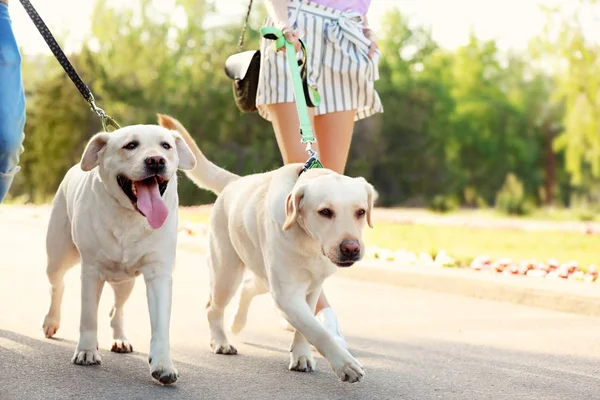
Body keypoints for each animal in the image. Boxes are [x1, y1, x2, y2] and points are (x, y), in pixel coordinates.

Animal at [42, 124, 197, 384]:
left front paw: (163, 365)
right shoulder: (91, 271)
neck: (130, 216)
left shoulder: (159, 273)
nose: (156, 160)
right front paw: (86, 351)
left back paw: (120, 339)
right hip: (58, 257)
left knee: (117, 309)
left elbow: (160, 325)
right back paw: (52, 322)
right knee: (58, 286)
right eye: (130, 145)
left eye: (166, 145)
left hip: (126, 282)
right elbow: (88, 316)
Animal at [159, 114, 376, 382]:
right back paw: (221, 341)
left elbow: (306, 328)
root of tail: (236, 181)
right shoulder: (287, 293)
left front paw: (301, 355)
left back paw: (238, 323)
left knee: (248, 287)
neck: (310, 244)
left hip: (262, 275)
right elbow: (316, 330)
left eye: (361, 212)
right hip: (227, 274)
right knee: (213, 307)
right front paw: (345, 364)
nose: (351, 248)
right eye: (325, 212)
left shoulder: (311, 288)